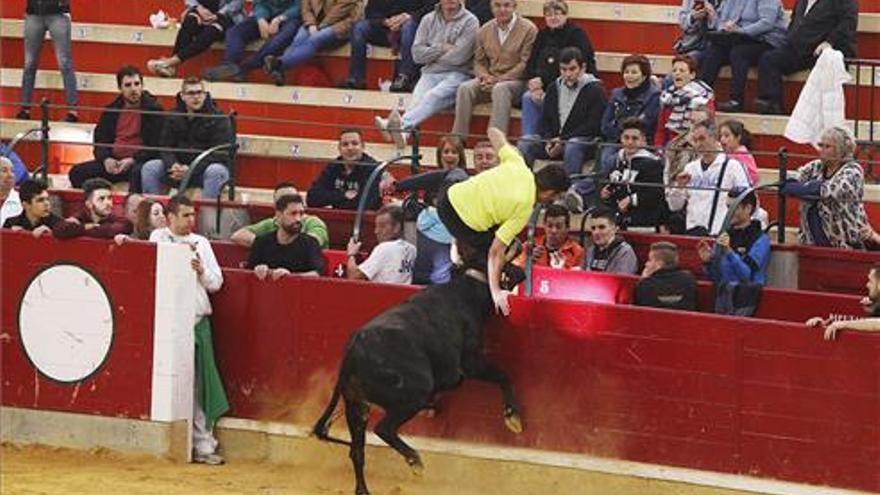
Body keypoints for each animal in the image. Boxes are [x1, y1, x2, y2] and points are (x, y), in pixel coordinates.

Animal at [314, 272, 524, 495]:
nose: (519, 277)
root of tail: (351, 353)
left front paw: (431, 407)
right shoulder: (469, 362)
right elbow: (502, 376)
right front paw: (513, 418)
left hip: (356, 406)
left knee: (357, 450)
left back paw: (364, 490)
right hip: (412, 395)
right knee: (383, 428)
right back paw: (415, 460)